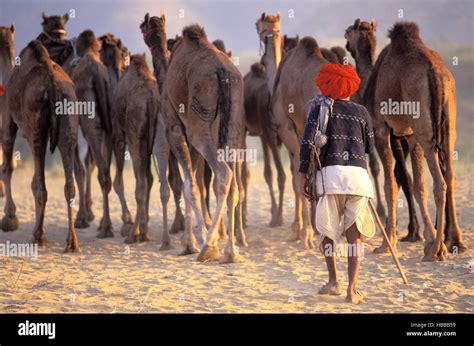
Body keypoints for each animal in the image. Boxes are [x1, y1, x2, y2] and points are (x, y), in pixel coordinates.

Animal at [143, 15, 246, 262]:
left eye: (143, 27)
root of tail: (223, 72)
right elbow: (193, 183)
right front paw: (191, 241)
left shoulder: (174, 126)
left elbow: (189, 186)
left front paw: (193, 242)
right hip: (233, 128)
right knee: (235, 185)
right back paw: (231, 251)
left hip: (200, 122)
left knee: (224, 174)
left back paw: (208, 247)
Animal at [362, 21, 466, 260]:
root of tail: (436, 73)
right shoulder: (410, 133)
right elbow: (417, 184)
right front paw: (427, 238)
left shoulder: (381, 128)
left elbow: (390, 184)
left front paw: (386, 244)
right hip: (447, 126)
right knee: (450, 176)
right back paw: (453, 242)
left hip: (423, 126)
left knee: (440, 182)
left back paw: (437, 249)